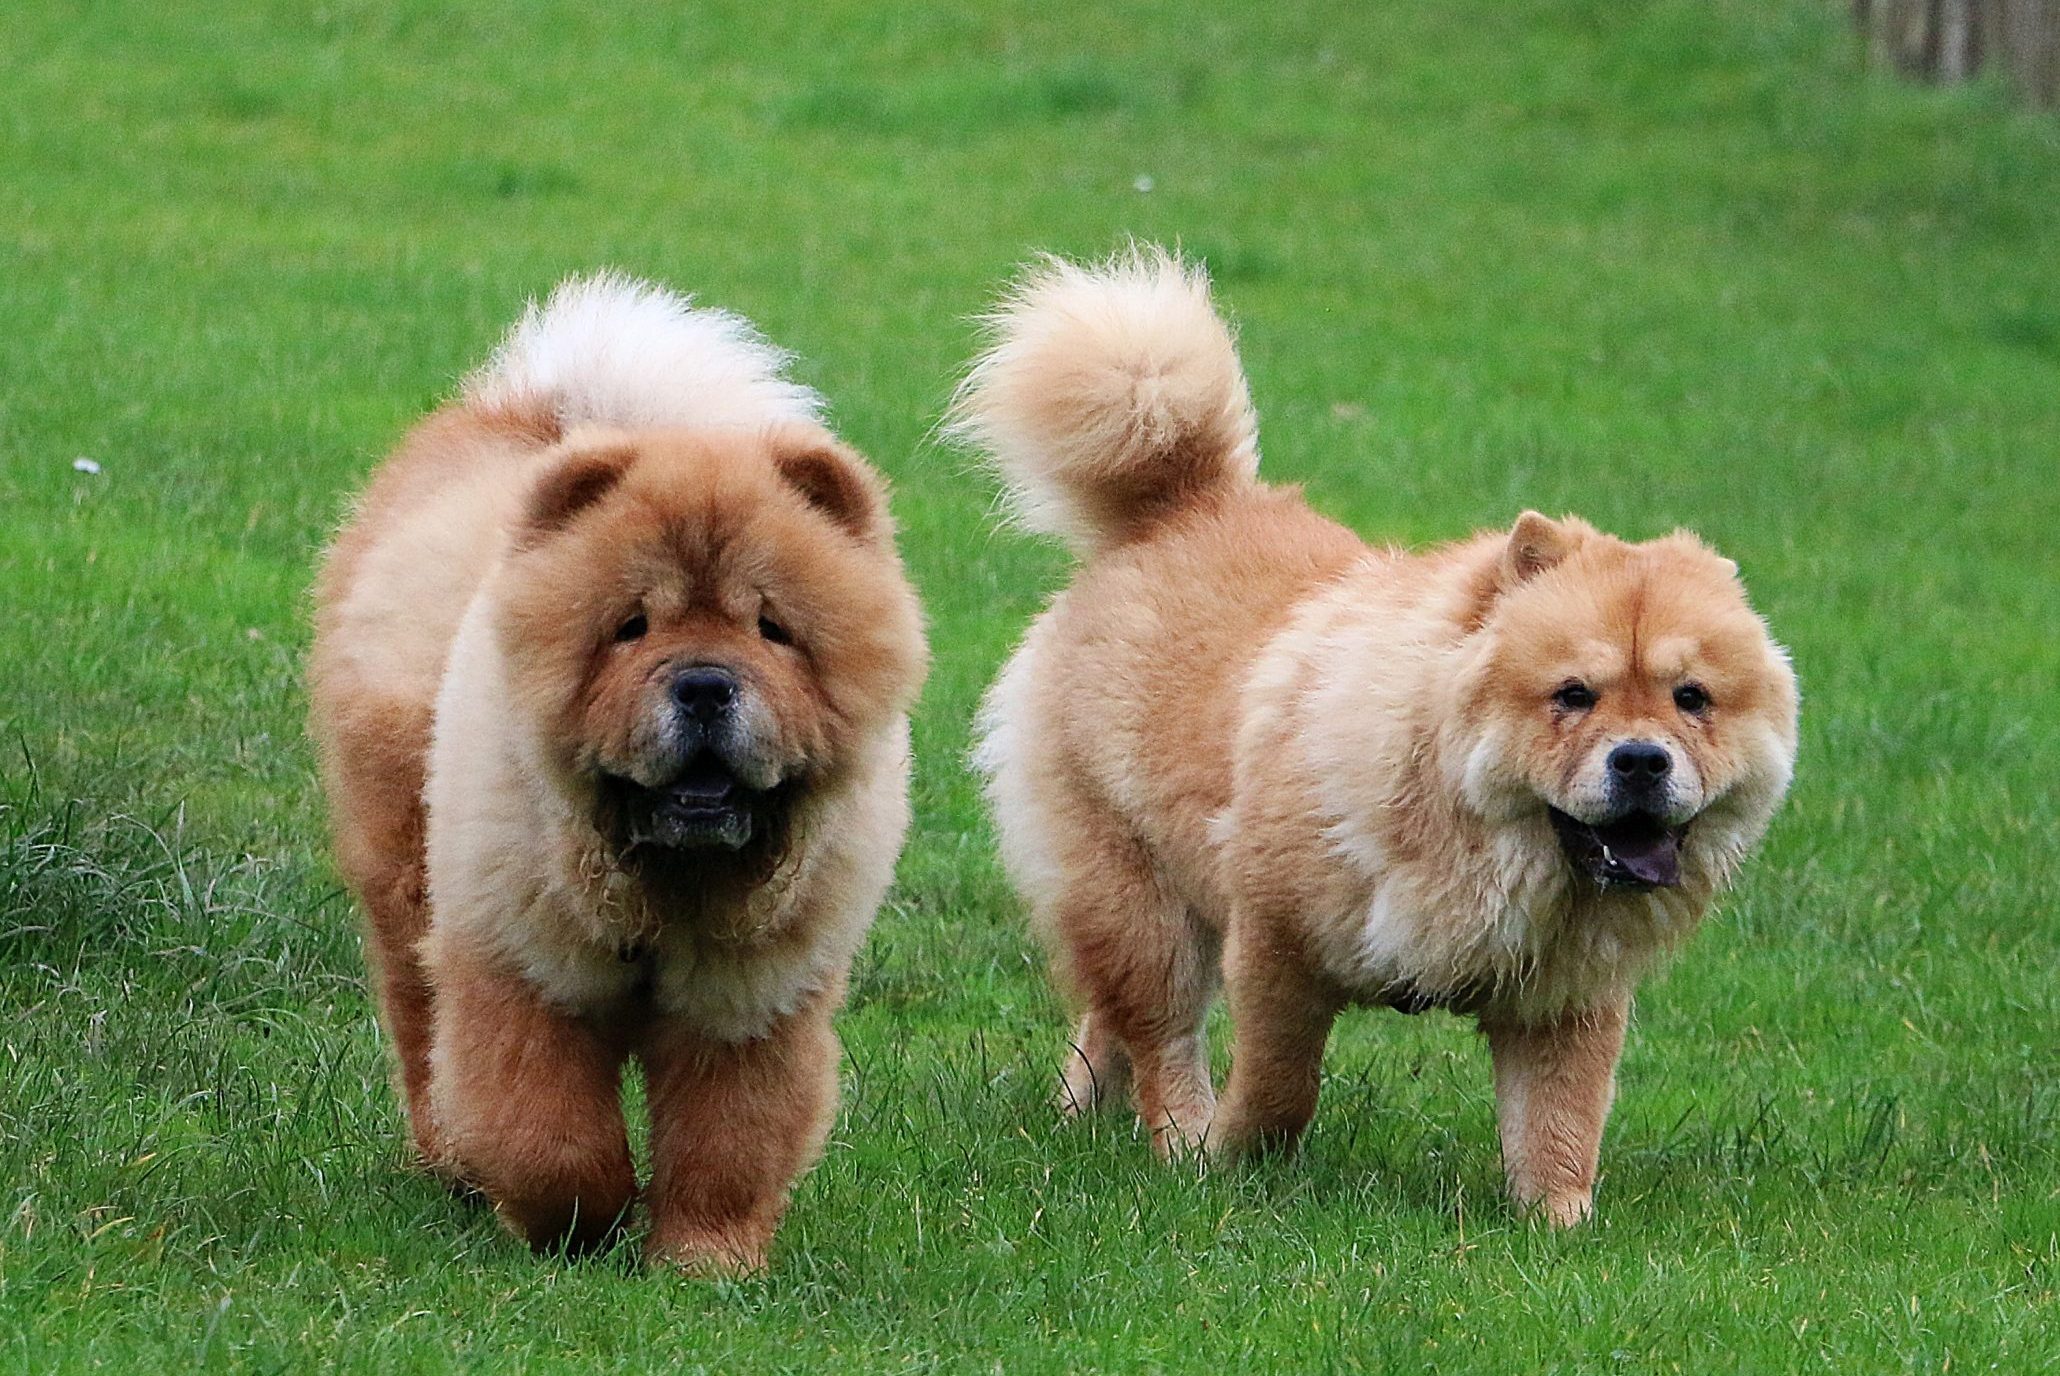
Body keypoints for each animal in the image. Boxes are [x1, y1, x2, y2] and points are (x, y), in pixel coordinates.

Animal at [309, 273, 931, 1277]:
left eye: (772, 629)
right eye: (631, 626)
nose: (706, 683)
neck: (672, 881)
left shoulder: (751, 1002)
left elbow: (730, 1141)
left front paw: (705, 1263)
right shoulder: (526, 968)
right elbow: (549, 1135)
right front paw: (579, 1235)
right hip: (408, 861)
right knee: (419, 1018)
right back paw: (450, 1162)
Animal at [955, 250, 1796, 1227]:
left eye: (1691, 700)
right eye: (1573, 696)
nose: (1641, 760)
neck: (1465, 829)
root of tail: (1176, 509)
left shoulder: (1565, 1000)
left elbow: (1560, 1123)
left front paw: (1557, 1224)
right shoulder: (1279, 942)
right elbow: (1281, 1084)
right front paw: (1231, 1159)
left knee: (1109, 1020)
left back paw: (1080, 1117)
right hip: (1137, 892)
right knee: (1160, 1031)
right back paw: (1178, 1140)